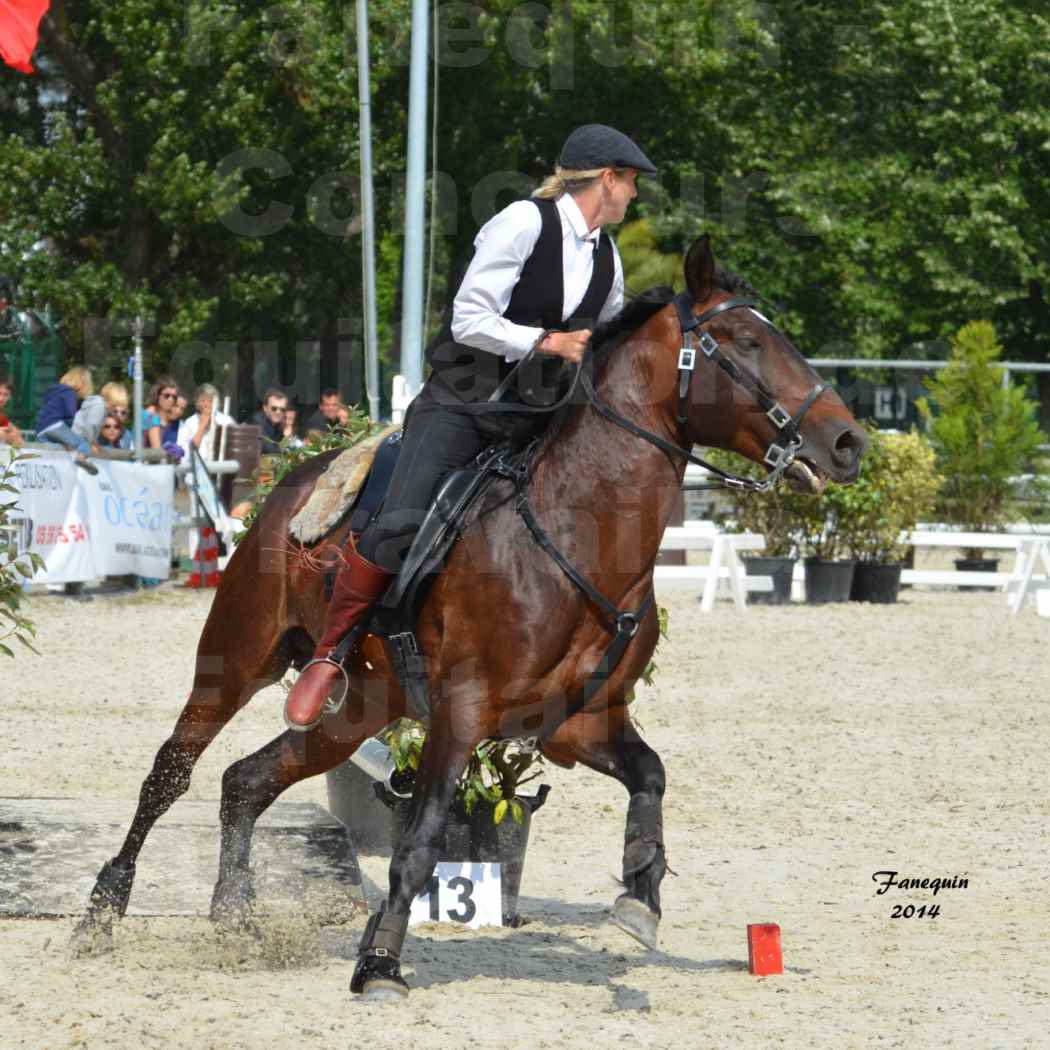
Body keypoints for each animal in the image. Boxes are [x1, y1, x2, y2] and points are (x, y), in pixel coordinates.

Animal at [69, 234, 865, 995]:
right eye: (746, 341)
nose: (848, 442)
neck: (574, 527)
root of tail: (284, 487)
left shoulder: (579, 721)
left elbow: (651, 776)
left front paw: (640, 897)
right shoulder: (463, 709)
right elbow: (419, 840)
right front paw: (379, 964)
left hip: (362, 706)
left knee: (247, 780)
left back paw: (234, 917)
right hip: (238, 657)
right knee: (170, 772)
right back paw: (102, 911)